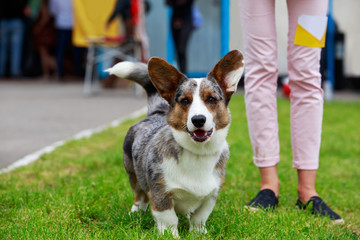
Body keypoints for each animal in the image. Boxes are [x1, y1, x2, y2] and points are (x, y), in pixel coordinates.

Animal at [105, 49, 245, 237]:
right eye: (185, 101)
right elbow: (169, 220)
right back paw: (135, 213)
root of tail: (155, 113)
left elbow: (199, 218)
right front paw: (170, 235)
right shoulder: (160, 194)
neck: (198, 153)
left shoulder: (211, 195)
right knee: (139, 195)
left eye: (211, 99)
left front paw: (198, 234)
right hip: (133, 173)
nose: (198, 120)